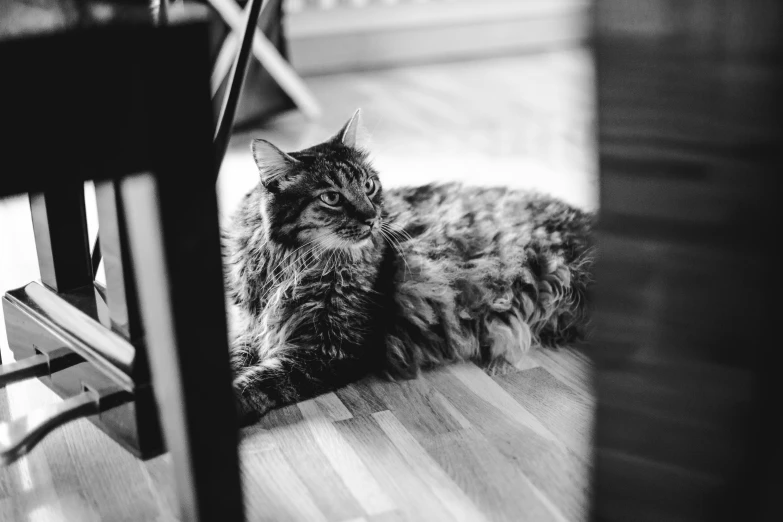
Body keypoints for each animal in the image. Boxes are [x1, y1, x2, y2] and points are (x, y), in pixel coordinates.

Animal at [222, 109, 596, 422]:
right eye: (331, 197)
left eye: (369, 185)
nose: (372, 218)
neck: (289, 264)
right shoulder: (251, 328)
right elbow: (235, 358)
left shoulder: (333, 349)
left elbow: (261, 381)